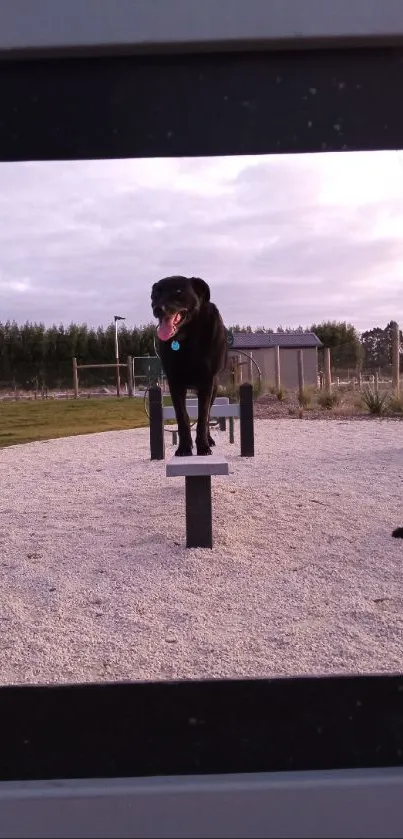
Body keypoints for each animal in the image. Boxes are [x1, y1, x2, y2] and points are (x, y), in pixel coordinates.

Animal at [151, 276, 227, 456]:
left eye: (178, 292)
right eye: (156, 293)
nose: (158, 309)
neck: (187, 337)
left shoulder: (207, 381)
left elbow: (202, 417)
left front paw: (203, 447)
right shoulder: (174, 382)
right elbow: (182, 417)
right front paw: (185, 448)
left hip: (214, 388)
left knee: (207, 415)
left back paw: (209, 440)